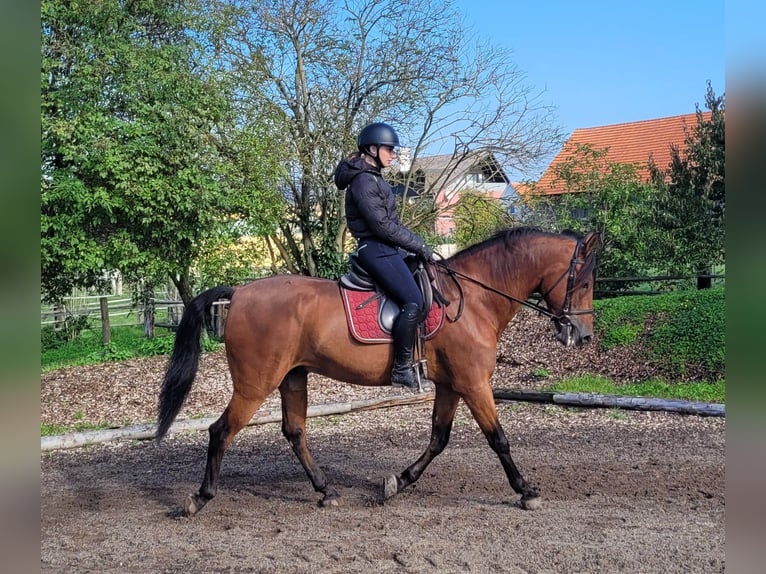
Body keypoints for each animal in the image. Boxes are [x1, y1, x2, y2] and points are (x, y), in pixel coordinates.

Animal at [157, 226, 601, 515]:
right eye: (582, 281)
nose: (582, 336)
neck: (474, 299)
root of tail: (239, 292)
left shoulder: (450, 385)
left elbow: (439, 438)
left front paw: (397, 483)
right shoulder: (474, 383)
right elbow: (499, 439)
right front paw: (526, 491)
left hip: (292, 377)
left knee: (295, 432)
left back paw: (325, 491)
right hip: (255, 383)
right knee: (221, 431)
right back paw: (200, 497)